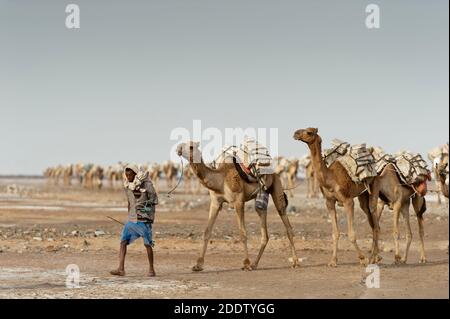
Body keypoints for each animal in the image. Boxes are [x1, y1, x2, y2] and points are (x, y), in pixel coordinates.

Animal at [176, 142, 298, 272]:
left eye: (191, 146)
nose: (178, 149)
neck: (220, 179)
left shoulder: (238, 201)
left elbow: (242, 233)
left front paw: (246, 263)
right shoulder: (215, 202)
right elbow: (207, 231)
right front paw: (198, 265)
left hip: (277, 185)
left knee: (286, 223)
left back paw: (295, 262)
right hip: (262, 196)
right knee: (264, 229)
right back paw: (255, 264)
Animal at [292, 128, 380, 268]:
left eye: (309, 132)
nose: (296, 133)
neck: (330, 178)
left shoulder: (348, 201)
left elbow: (351, 234)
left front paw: (363, 259)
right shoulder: (329, 202)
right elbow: (335, 233)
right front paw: (333, 261)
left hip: (374, 185)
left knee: (376, 223)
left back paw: (373, 258)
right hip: (363, 195)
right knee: (372, 222)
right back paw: (375, 257)